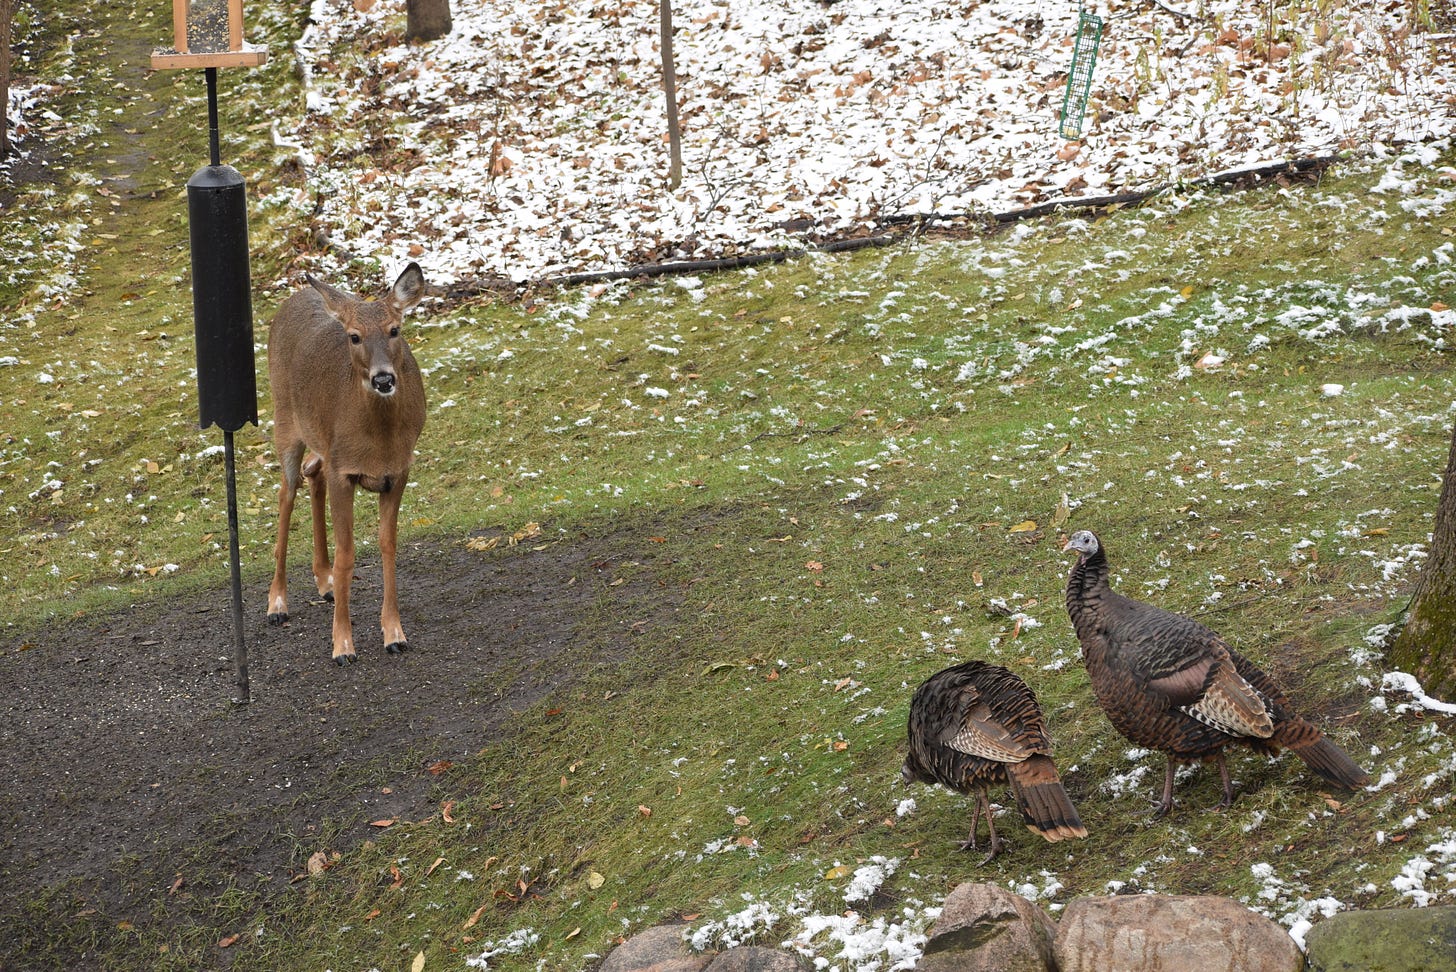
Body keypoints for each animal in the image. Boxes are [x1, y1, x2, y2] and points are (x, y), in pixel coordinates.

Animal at [266, 262, 427, 664]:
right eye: (354, 337)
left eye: (395, 329)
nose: (383, 378)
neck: (379, 441)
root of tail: (295, 295)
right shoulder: (345, 472)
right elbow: (347, 554)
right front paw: (342, 645)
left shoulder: (399, 471)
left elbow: (388, 545)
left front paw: (394, 634)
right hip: (285, 420)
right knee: (286, 492)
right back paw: (277, 603)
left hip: (321, 445)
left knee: (312, 472)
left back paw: (323, 582)